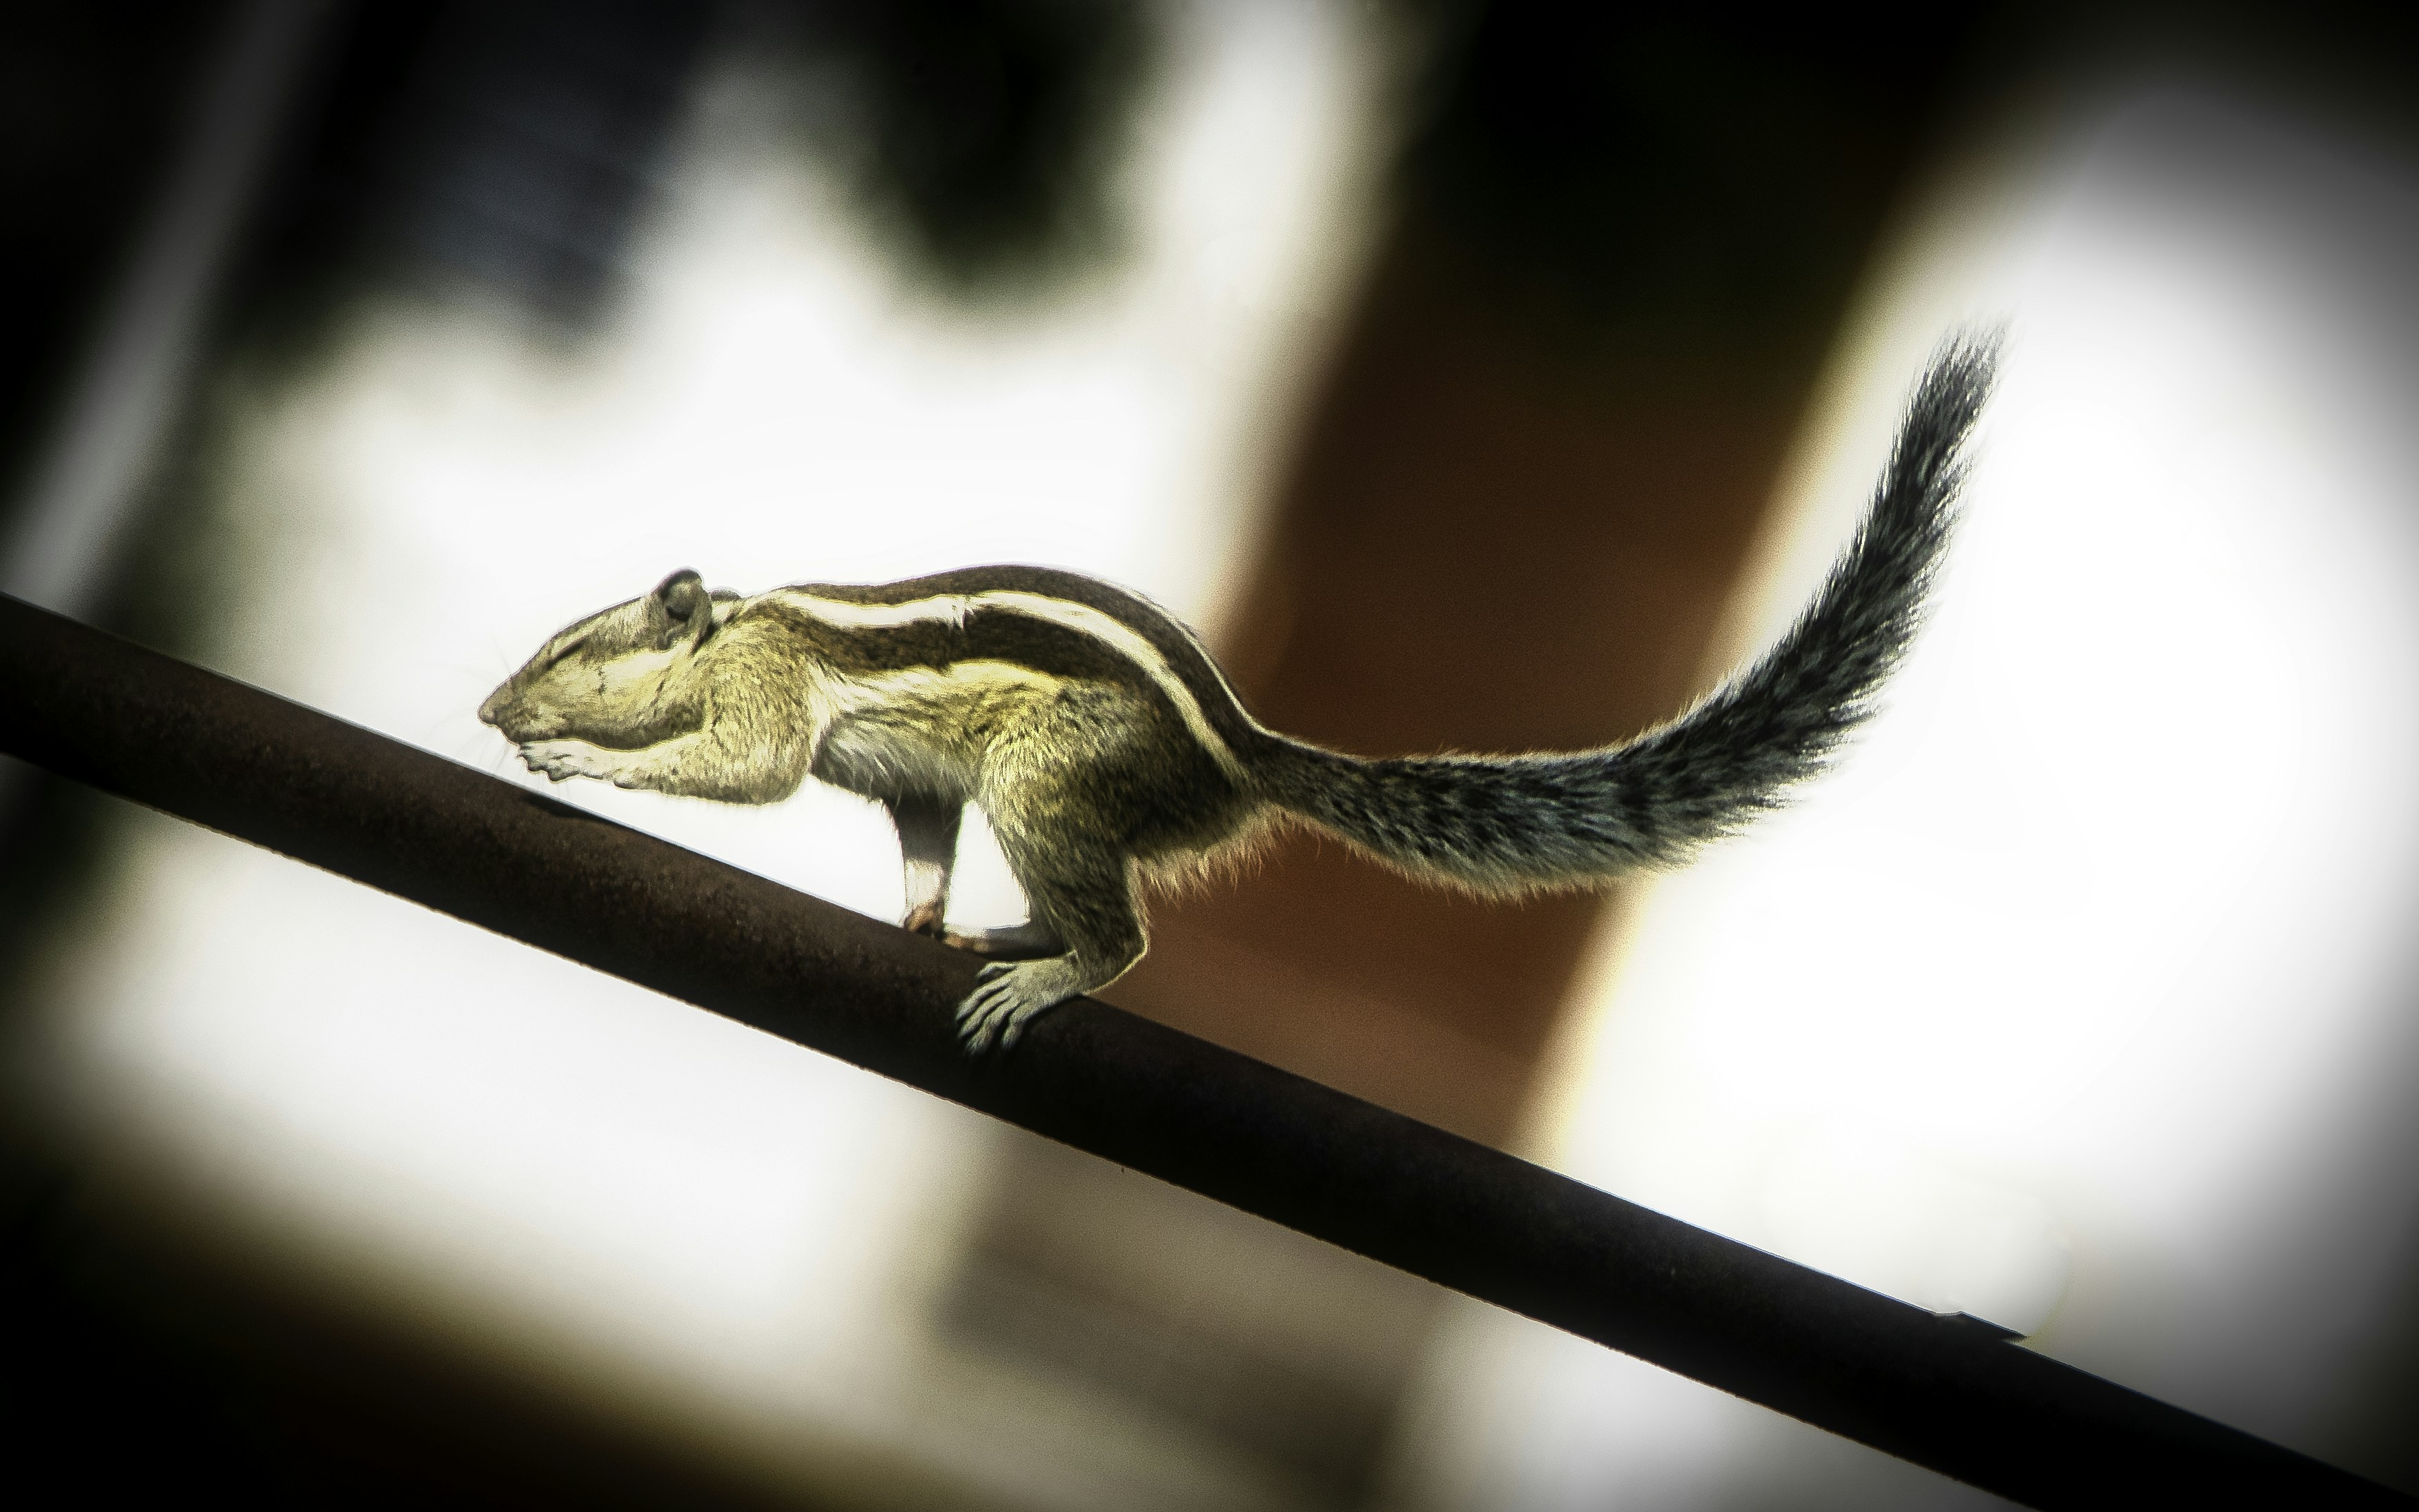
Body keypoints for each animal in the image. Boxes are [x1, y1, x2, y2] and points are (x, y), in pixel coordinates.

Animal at [481, 337, 1995, 1052]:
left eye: (570, 651)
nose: (495, 710)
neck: (729, 627)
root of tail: (1249, 755)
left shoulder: (769, 689)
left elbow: (746, 769)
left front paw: (589, 767)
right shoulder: (912, 785)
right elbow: (918, 830)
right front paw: (914, 912)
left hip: (1048, 774)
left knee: (1128, 939)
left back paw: (1056, 970)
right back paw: (1009, 931)